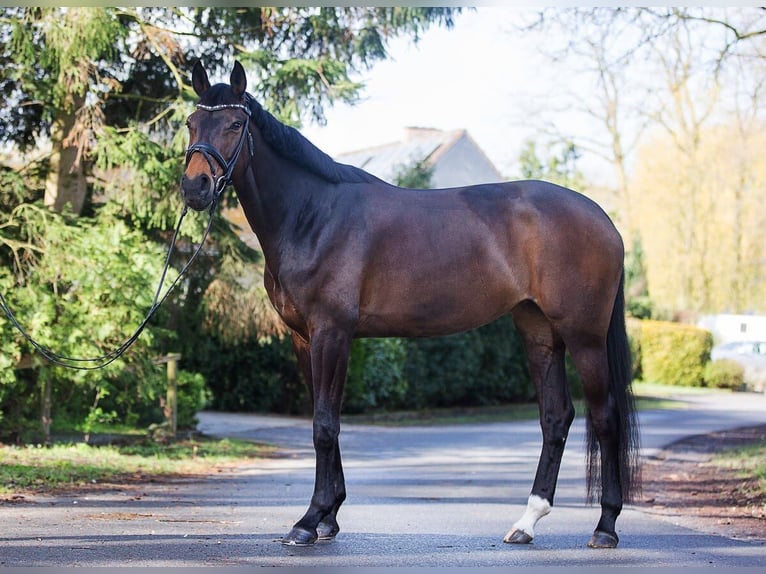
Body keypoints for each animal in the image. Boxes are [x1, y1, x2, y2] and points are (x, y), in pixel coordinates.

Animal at [180, 61, 640, 549]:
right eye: (191, 123)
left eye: (234, 124)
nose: (195, 187)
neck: (312, 215)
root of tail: (604, 219)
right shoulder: (303, 338)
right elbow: (325, 419)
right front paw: (329, 517)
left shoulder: (332, 333)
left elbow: (325, 425)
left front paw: (307, 521)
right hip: (539, 331)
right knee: (556, 417)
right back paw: (526, 522)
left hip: (584, 336)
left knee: (605, 416)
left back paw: (605, 526)